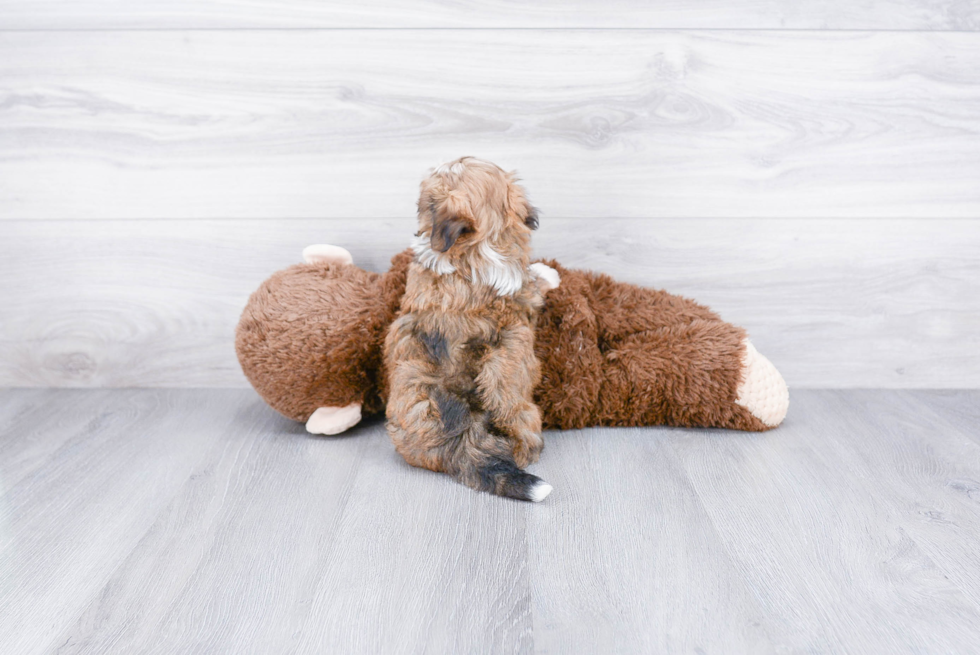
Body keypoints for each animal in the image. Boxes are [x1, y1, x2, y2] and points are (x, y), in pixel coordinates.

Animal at [382, 159, 556, 502]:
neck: (469, 250)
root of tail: (462, 429)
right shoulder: (521, 292)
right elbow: (533, 282)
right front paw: (549, 272)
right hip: (527, 414)